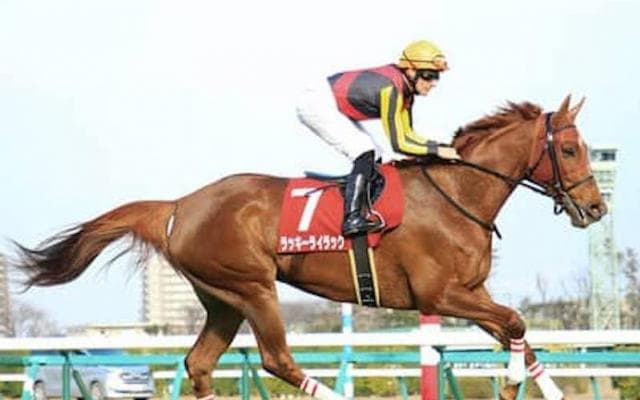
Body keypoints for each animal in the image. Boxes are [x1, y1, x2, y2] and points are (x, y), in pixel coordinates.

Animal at [12, 95, 606, 400]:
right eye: (569, 150)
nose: (597, 208)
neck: (457, 193)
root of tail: (180, 204)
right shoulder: (440, 294)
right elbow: (516, 323)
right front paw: (512, 385)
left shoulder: (471, 294)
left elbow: (519, 332)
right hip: (253, 287)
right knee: (275, 358)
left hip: (222, 299)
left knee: (200, 363)